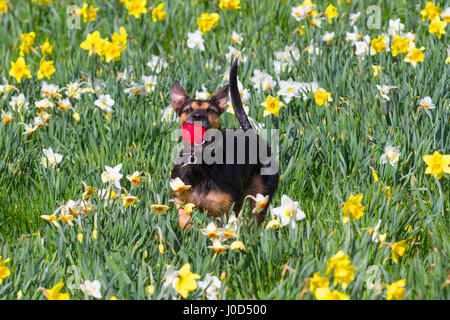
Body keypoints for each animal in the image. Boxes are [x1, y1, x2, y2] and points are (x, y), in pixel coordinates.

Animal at [169, 58, 278, 228]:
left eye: (211, 110)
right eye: (188, 110)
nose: (198, 116)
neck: (201, 165)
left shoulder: (226, 209)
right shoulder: (182, 202)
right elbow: (184, 222)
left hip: (261, 196)